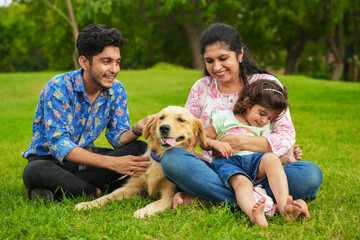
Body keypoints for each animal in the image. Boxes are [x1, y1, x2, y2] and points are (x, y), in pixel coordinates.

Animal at [74, 106, 207, 218]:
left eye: (181, 119)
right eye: (161, 117)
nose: (163, 128)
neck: (160, 158)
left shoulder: (169, 195)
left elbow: (155, 204)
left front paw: (144, 211)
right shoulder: (132, 186)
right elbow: (108, 196)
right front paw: (87, 204)